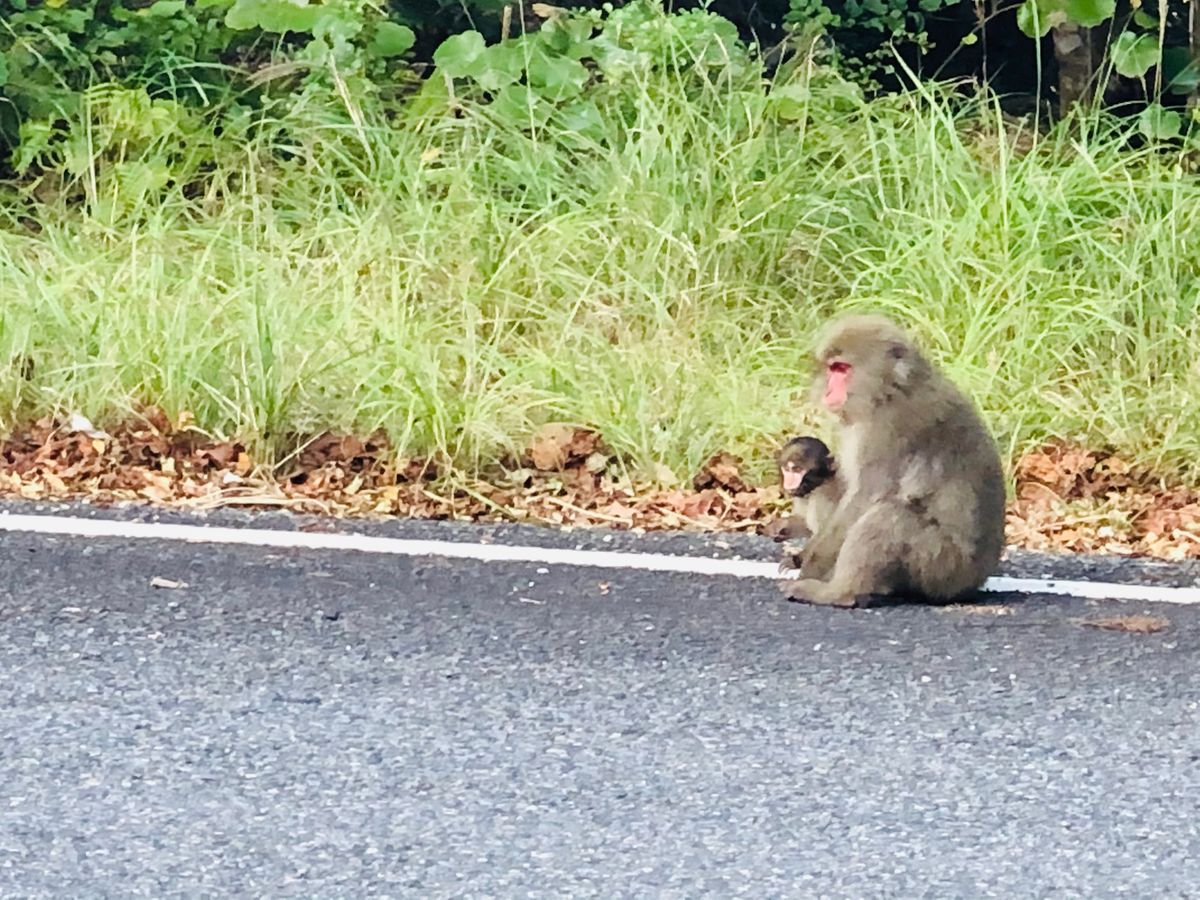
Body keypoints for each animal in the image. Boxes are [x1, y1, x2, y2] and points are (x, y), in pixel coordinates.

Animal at [771, 436, 842, 571]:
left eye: (798, 470)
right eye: (787, 469)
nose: (789, 484)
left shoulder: (821, 497)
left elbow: (825, 533)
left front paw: (796, 560)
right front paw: (781, 527)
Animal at [780, 314, 1006, 608]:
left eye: (842, 369)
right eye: (831, 369)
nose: (828, 392)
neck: (889, 392)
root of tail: (975, 582)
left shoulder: (885, 431)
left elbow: (866, 496)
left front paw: (811, 565)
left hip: (941, 567)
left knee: (889, 516)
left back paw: (841, 593)